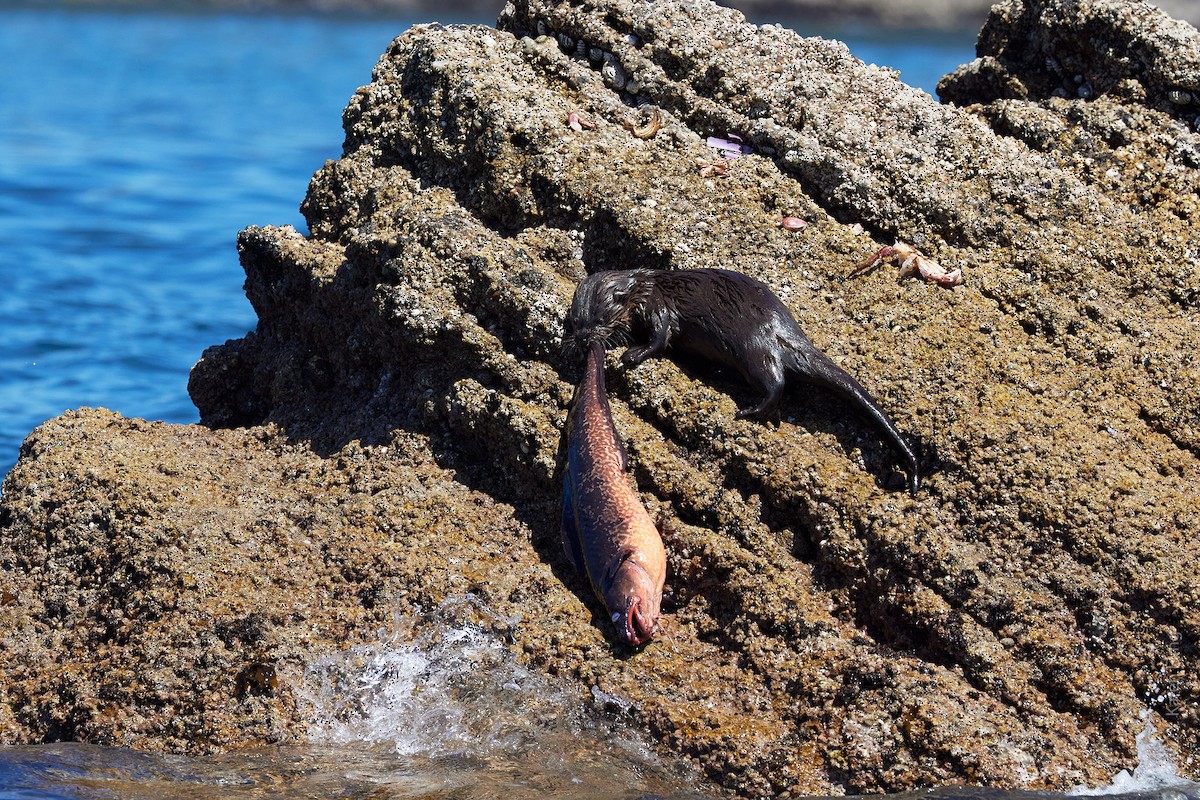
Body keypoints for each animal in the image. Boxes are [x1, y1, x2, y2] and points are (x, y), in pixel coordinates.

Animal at [568, 268, 922, 494]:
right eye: (575, 320)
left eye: (599, 319)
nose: (584, 338)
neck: (644, 287)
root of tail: (786, 331)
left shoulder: (657, 307)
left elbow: (660, 338)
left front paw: (632, 354)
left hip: (752, 347)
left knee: (776, 382)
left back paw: (751, 412)